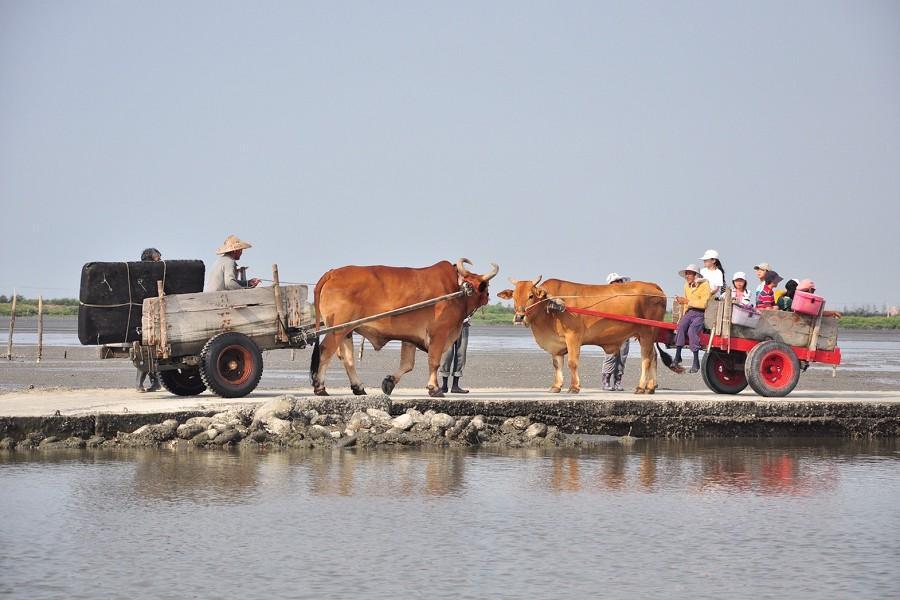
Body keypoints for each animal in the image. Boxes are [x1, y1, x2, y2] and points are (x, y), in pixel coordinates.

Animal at [306, 260, 496, 396]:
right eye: (484, 286)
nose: (488, 296)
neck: (457, 290)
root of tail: (333, 273)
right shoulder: (439, 334)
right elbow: (434, 362)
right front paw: (434, 389)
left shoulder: (410, 338)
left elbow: (407, 364)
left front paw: (389, 382)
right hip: (337, 329)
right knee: (325, 351)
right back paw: (320, 388)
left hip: (347, 330)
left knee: (348, 358)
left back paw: (358, 387)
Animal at [500, 276, 668, 394]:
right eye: (514, 297)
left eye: (531, 296)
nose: (519, 317)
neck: (551, 305)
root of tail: (654, 286)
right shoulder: (556, 344)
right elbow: (557, 364)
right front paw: (556, 386)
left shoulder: (573, 337)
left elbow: (572, 362)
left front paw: (574, 387)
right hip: (645, 336)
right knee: (653, 356)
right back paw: (651, 387)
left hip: (647, 332)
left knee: (646, 360)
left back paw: (640, 387)